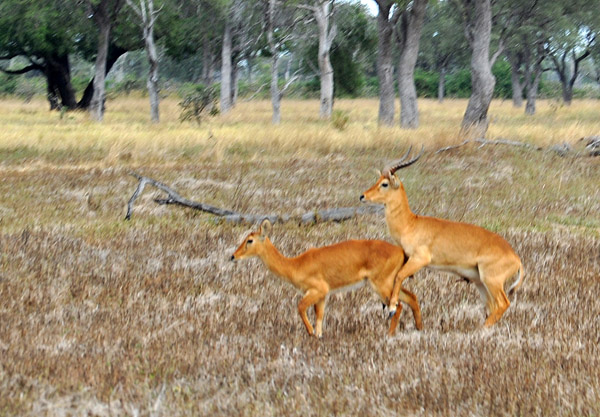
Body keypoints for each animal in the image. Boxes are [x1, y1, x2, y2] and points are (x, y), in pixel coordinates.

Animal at [230, 219, 422, 336]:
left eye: (250, 240)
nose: (233, 256)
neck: (295, 265)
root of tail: (401, 252)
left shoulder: (318, 289)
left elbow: (300, 306)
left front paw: (310, 333)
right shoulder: (323, 295)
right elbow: (319, 317)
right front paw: (318, 336)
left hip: (381, 284)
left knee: (397, 307)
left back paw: (389, 335)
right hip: (390, 282)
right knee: (412, 297)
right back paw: (419, 328)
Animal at [360, 148, 524, 326]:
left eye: (385, 183)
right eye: (378, 179)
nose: (362, 196)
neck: (411, 224)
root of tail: (516, 258)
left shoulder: (419, 259)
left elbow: (399, 276)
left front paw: (391, 307)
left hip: (491, 281)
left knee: (503, 304)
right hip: (480, 281)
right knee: (492, 306)